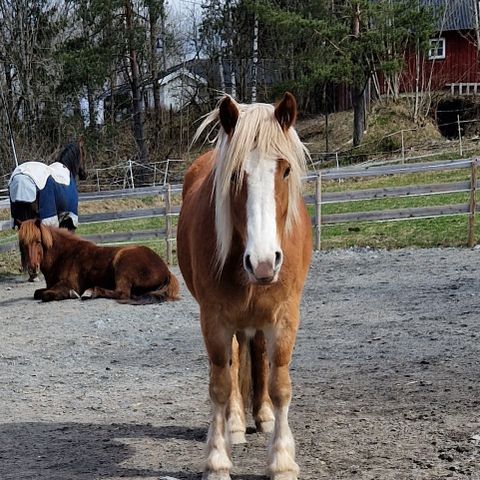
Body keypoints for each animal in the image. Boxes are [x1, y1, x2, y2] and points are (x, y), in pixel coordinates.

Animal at [178, 94, 314, 480]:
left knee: (258, 357)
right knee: (236, 362)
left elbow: (280, 386)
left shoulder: (284, 317)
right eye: (236, 174)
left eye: (285, 170)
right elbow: (221, 386)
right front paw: (217, 460)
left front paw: (282, 461)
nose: (264, 263)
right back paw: (237, 424)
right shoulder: (214, 321)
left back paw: (263, 417)